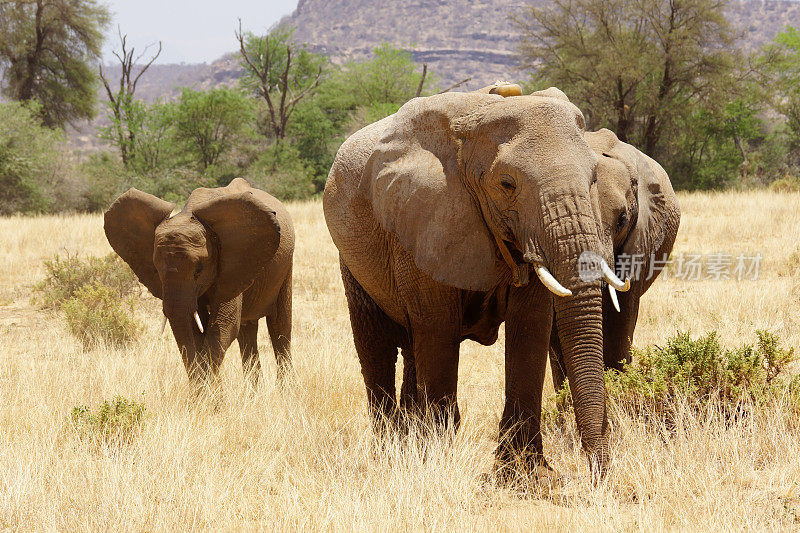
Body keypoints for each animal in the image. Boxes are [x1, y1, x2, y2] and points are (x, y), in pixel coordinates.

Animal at [103, 178, 294, 382]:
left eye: (199, 270)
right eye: (157, 269)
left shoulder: (233, 264)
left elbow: (222, 326)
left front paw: (208, 389)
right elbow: (195, 328)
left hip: (286, 264)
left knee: (280, 327)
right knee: (246, 330)